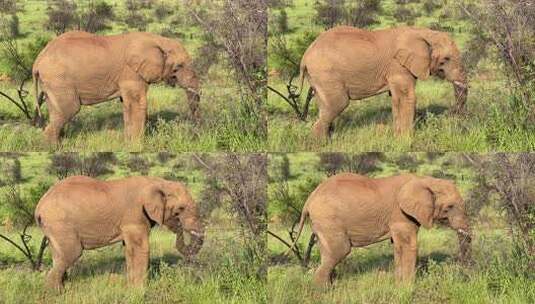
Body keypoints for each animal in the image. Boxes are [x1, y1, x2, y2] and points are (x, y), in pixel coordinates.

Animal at [33, 30, 201, 144]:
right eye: (178, 67)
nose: (195, 132)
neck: (159, 41)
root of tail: (37, 61)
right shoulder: (131, 72)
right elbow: (137, 104)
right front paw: (137, 145)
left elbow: (127, 105)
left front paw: (128, 143)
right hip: (59, 80)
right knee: (69, 109)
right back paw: (53, 148)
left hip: (52, 83)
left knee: (56, 111)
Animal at [34, 176, 205, 290]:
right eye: (180, 209)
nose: (179, 227)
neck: (158, 182)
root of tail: (39, 207)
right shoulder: (134, 215)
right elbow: (140, 249)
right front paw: (140, 291)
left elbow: (129, 250)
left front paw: (130, 287)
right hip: (60, 224)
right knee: (72, 253)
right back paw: (55, 293)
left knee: (59, 256)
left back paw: (63, 289)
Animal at [292, 173, 472, 288]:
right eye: (449, 207)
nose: (465, 275)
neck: (424, 180)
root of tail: (309, 199)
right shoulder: (400, 214)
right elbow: (409, 246)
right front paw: (407, 288)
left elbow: (399, 247)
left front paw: (399, 285)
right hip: (328, 219)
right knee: (340, 250)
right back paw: (321, 292)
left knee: (327, 254)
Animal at [298, 26, 468, 138]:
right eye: (446, 60)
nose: (454, 115)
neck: (423, 32)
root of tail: (305, 56)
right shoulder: (398, 66)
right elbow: (407, 97)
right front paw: (406, 139)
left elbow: (397, 98)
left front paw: (398, 136)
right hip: (326, 73)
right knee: (338, 103)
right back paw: (320, 143)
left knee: (325, 105)